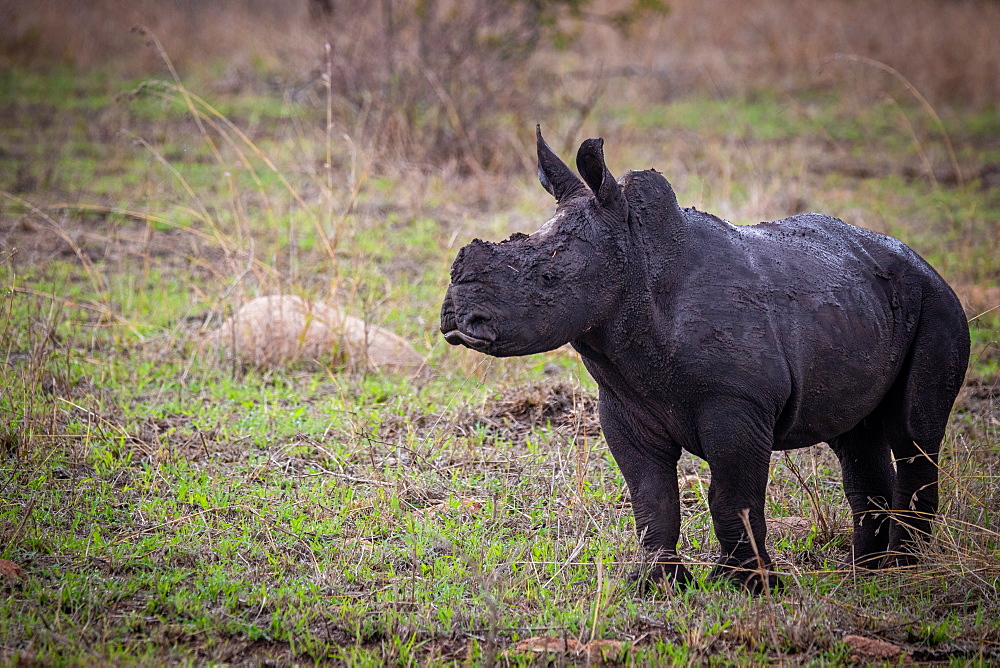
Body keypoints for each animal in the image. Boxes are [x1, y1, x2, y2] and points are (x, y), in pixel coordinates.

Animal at [440, 128, 968, 592]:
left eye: (547, 278)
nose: (457, 319)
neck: (636, 261)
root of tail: (925, 263)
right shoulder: (623, 403)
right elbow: (651, 497)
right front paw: (657, 586)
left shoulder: (737, 403)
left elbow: (732, 495)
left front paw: (748, 587)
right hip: (860, 303)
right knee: (855, 437)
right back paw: (864, 573)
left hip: (937, 305)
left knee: (914, 433)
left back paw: (904, 570)